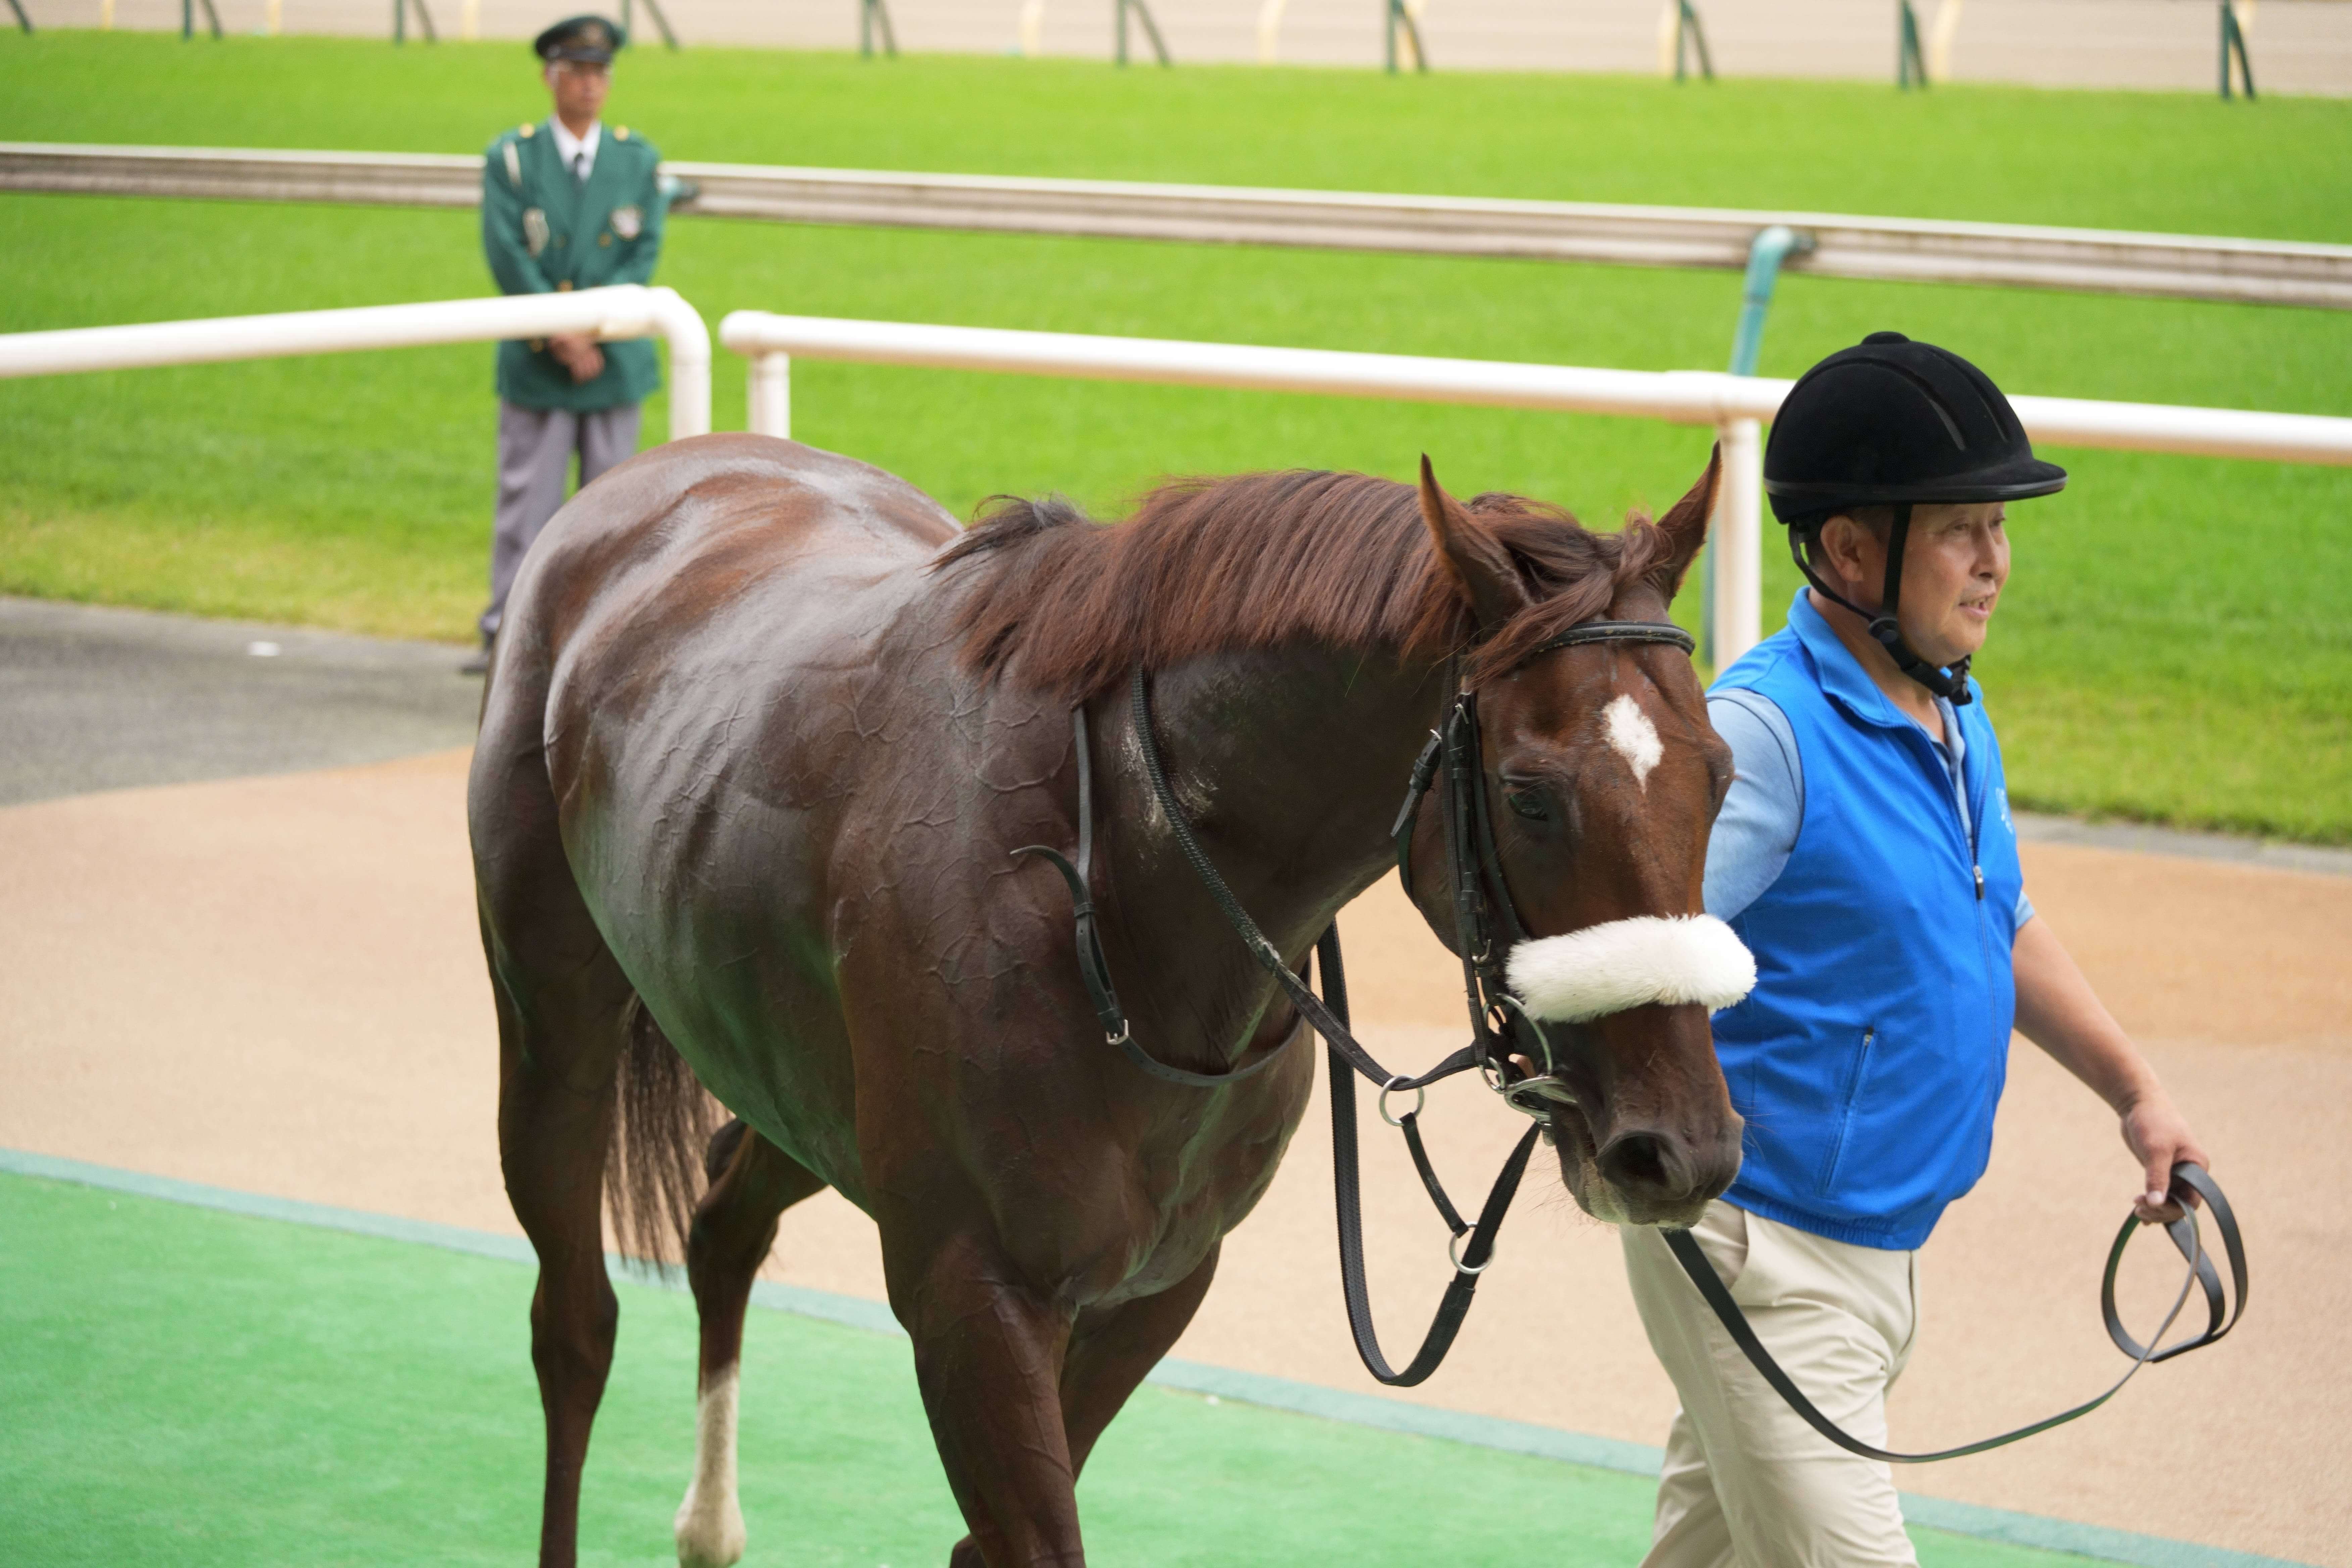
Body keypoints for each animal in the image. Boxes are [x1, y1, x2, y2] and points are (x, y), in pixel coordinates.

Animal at [468, 439, 1740, 1568]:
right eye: (1529, 796)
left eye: (1721, 772)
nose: (1680, 1148)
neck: (1111, 892)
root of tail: (645, 478)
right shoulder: (969, 1291)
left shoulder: (1155, 1284)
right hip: (553, 1030)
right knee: (573, 1327)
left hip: (803, 1091)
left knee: (724, 1220)